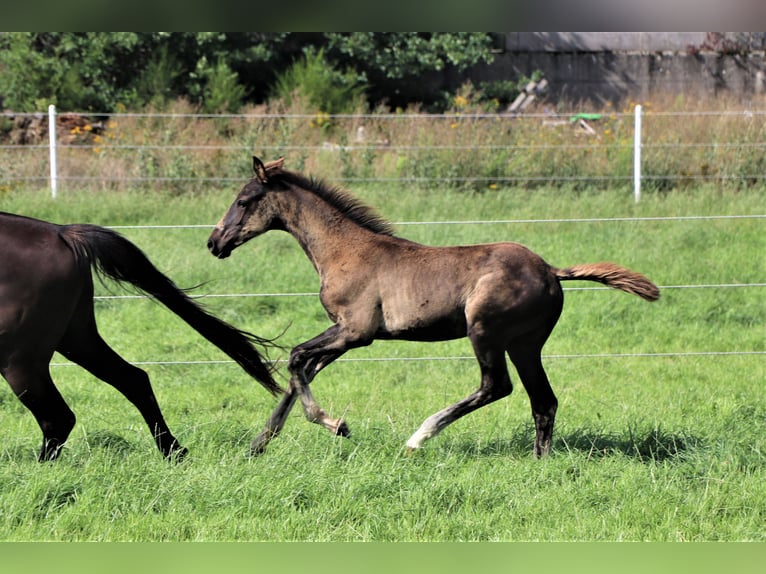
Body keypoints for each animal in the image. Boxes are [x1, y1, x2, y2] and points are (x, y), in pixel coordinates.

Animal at [0, 212, 282, 464]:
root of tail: (63, 233)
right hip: (75, 338)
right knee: (133, 380)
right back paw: (174, 452)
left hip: (21, 359)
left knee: (58, 416)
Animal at [208, 158, 660, 460]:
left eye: (244, 200)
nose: (214, 243)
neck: (344, 251)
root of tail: (551, 271)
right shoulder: (342, 335)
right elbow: (300, 371)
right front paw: (259, 444)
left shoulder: (356, 331)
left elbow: (295, 357)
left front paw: (336, 425)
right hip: (525, 344)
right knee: (543, 400)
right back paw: (539, 461)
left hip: (485, 332)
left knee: (497, 386)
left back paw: (418, 437)